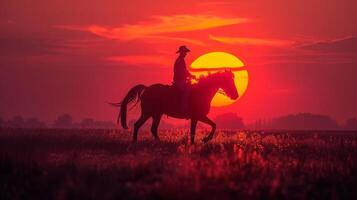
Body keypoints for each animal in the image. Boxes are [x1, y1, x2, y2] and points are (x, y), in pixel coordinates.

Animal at [110, 70, 238, 144]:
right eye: (229, 81)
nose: (235, 95)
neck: (201, 92)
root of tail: (146, 88)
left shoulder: (196, 118)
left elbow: (203, 128)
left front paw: (197, 142)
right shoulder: (198, 116)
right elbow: (210, 126)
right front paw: (204, 140)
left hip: (156, 114)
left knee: (152, 128)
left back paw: (157, 142)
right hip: (148, 113)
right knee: (139, 125)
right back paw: (138, 142)